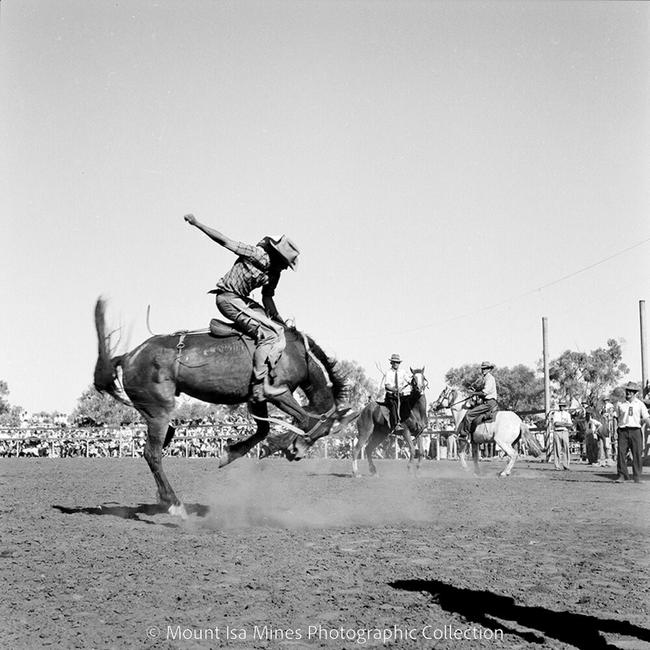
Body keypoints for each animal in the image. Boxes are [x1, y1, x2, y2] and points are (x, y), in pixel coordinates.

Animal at [92, 298, 354, 516]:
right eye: (324, 431)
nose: (297, 455)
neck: (296, 354)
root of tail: (128, 356)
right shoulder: (278, 393)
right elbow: (302, 419)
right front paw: (274, 446)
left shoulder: (256, 398)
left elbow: (263, 430)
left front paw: (230, 453)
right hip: (159, 411)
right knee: (152, 453)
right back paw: (174, 503)